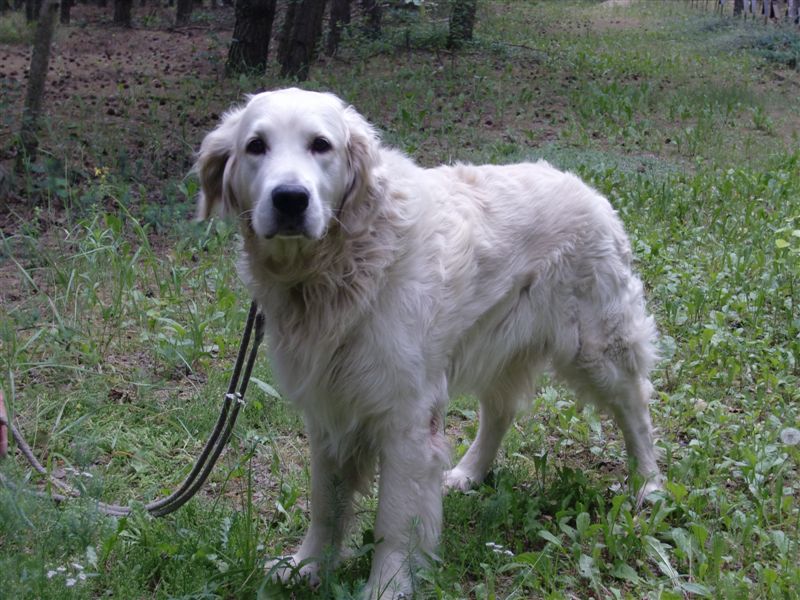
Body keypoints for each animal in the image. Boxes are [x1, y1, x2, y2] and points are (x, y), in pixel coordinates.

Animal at [195, 87, 662, 598]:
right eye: (255, 146)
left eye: (321, 145)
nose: (290, 199)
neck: (340, 267)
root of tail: (586, 188)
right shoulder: (329, 409)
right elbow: (326, 504)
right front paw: (308, 565)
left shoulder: (406, 420)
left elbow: (395, 519)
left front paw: (387, 584)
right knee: (500, 412)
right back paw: (470, 472)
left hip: (598, 349)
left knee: (635, 409)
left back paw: (649, 485)